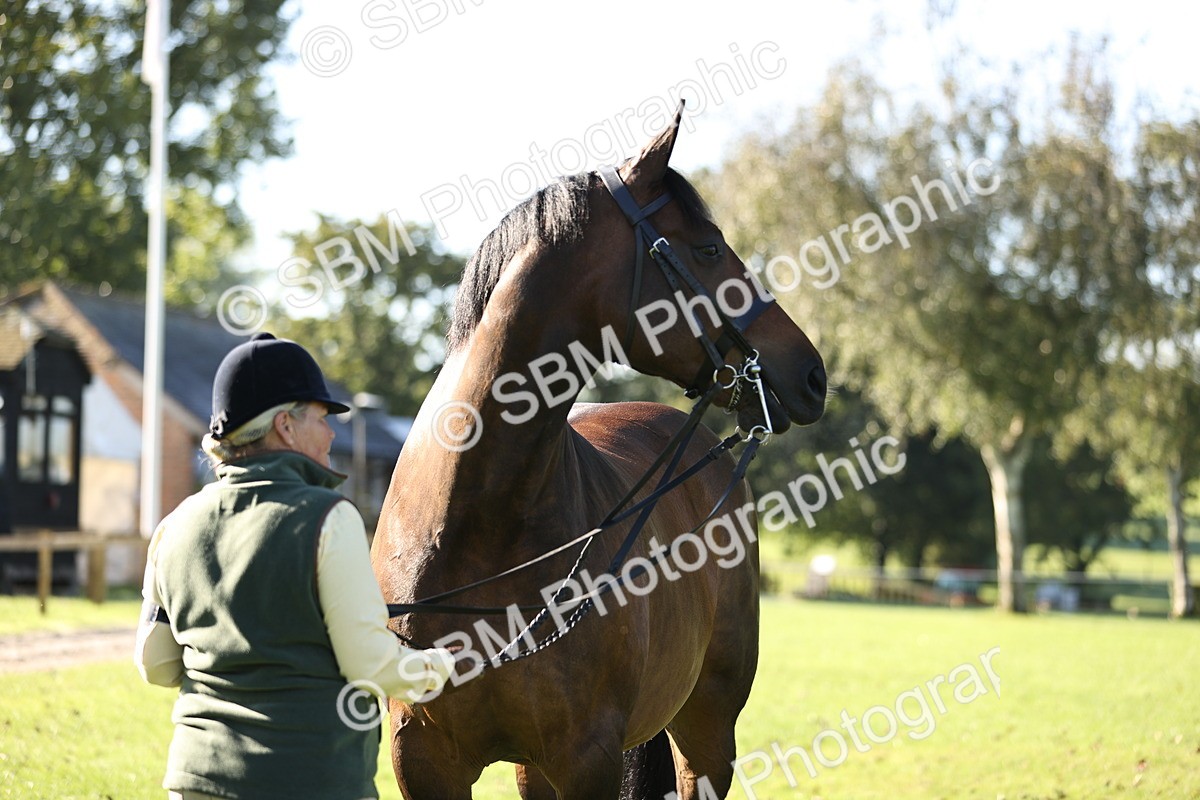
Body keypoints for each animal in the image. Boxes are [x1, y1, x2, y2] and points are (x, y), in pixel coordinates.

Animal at [371, 105, 826, 799]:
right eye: (708, 247)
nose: (812, 374)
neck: (473, 526)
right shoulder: (422, 758)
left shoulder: (587, 757)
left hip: (707, 731)